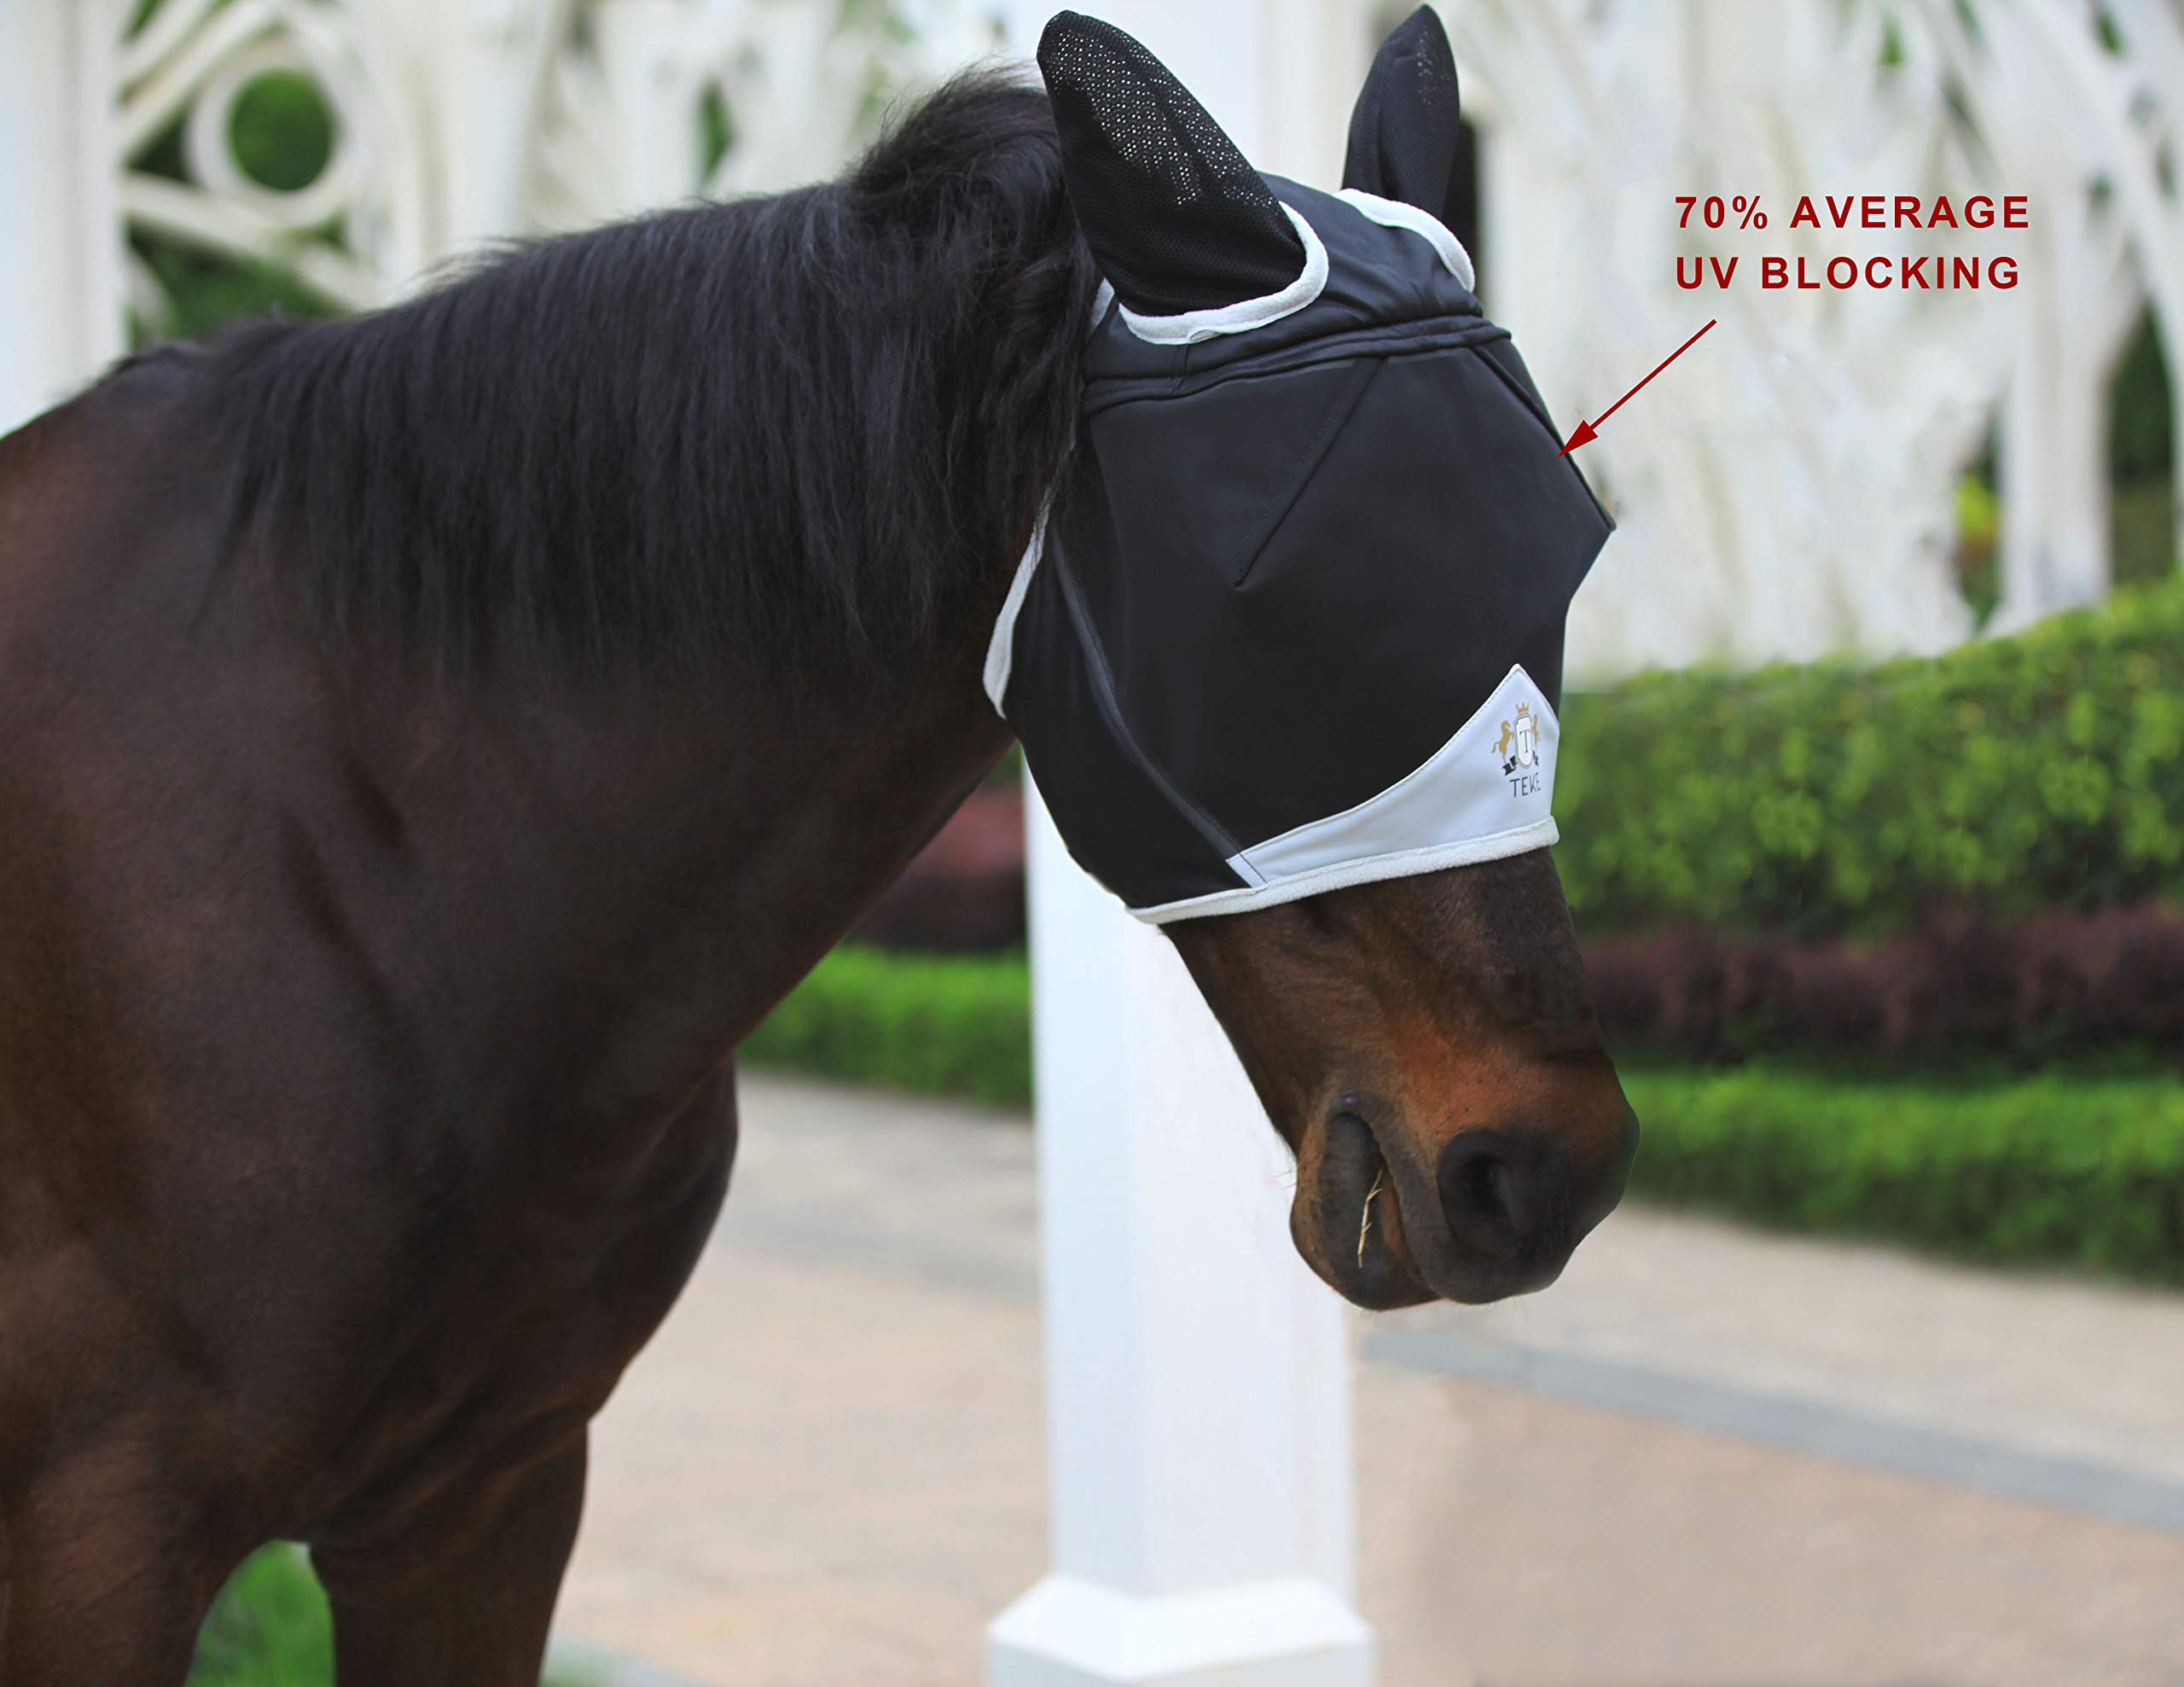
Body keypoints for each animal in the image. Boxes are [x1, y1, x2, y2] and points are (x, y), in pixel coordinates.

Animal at [0, 28, 1636, 1687]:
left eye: (1556, 561)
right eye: (1279, 599)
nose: (1539, 1166)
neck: (372, 865)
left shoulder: (477, 1498)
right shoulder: (96, 1542)